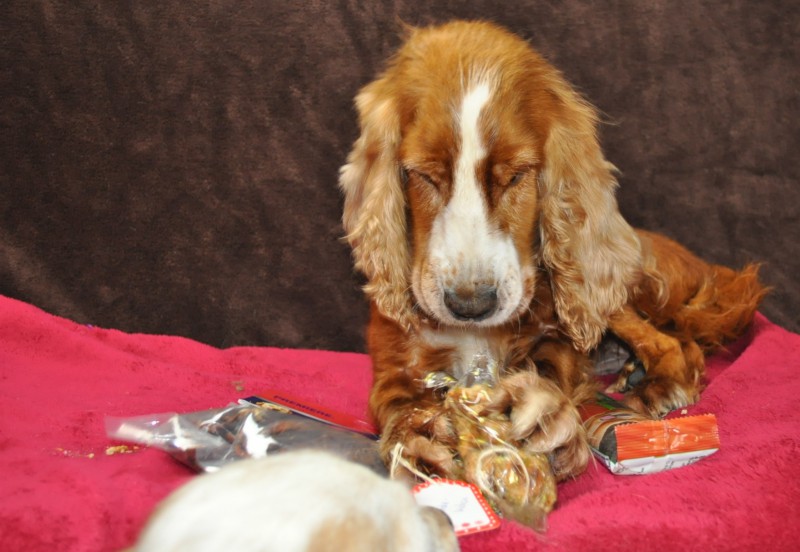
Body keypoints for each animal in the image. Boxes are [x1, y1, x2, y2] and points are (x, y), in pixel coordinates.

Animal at [339, 20, 766, 481]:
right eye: (424, 175)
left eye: (516, 176)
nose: (470, 306)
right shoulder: (393, 351)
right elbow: (393, 398)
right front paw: (416, 436)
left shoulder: (559, 334)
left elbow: (552, 362)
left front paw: (546, 412)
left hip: (605, 287)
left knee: (674, 343)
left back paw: (657, 385)